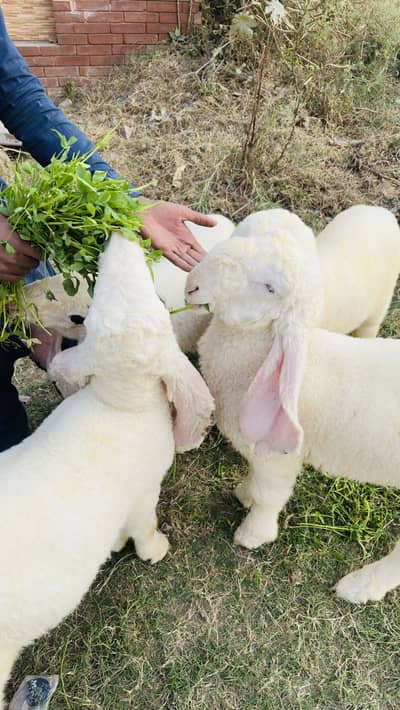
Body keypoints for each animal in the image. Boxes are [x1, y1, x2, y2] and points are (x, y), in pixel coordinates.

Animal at [0, 232, 214, 709]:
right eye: (89, 310)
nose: (120, 237)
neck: (120, 402)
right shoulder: (143, 494)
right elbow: (144, 528)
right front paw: (154, 551)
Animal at [185, 209, 400, 604]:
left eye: (270, 288)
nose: (192, 284)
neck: (258, 354)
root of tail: (380, 213)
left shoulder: (278, 456)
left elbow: (270, 494)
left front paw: (253, 533)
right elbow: (254, 482)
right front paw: (243, 493)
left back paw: (361, 585)